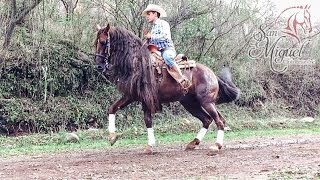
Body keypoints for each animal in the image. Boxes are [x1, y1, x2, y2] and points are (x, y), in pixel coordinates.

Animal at [94, 23, 239, 155]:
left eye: (103, 42)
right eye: (95, 43)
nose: (99, 66)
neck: (138, 64)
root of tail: (212, 73)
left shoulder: (144, 98)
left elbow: (147, 120)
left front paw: (149, 146)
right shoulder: (132, 96)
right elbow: (113, 108)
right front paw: (113, 137)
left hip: (206, 102)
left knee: (218, 121)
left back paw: (216, 145)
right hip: (192, 103)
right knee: (208, 119)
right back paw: (193, 143)